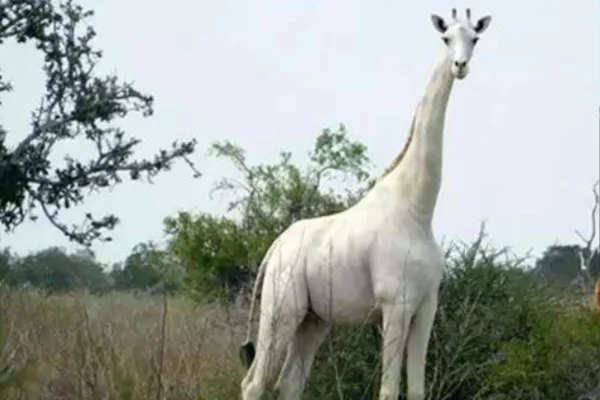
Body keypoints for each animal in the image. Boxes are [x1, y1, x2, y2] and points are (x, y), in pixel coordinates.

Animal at [239, 9, 492, 400]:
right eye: (446, 38)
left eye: (475, 39)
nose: (460, 66)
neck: (418, 210)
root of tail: (273, 249)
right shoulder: (395, 304)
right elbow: (388, 390)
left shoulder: (426, 307)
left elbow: (416, 389)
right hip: (281, 309)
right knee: (254, 383)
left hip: (314, 319)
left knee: (288, 382)